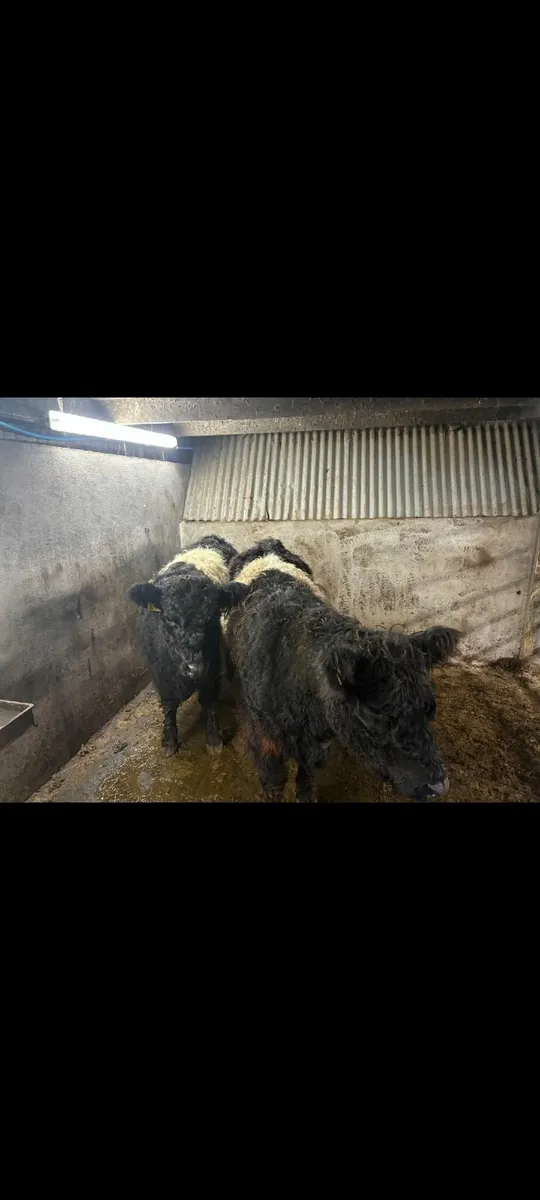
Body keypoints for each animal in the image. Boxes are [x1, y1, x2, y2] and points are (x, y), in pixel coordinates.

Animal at [128, 535, 246, 756]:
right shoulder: (160, 674)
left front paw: (214, 739)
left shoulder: (212, 668)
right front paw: (169, 741)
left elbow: (209, 701)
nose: (195, 668)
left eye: (213, 616)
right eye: (169, 619)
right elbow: (169, 705)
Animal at [226, 538, 460, 802]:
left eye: (429, 708)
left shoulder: (318, 743)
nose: (439, 786)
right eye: (374, 719)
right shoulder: (264, 737)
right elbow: (274, 779)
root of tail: (267, 543)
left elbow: (307, 773)